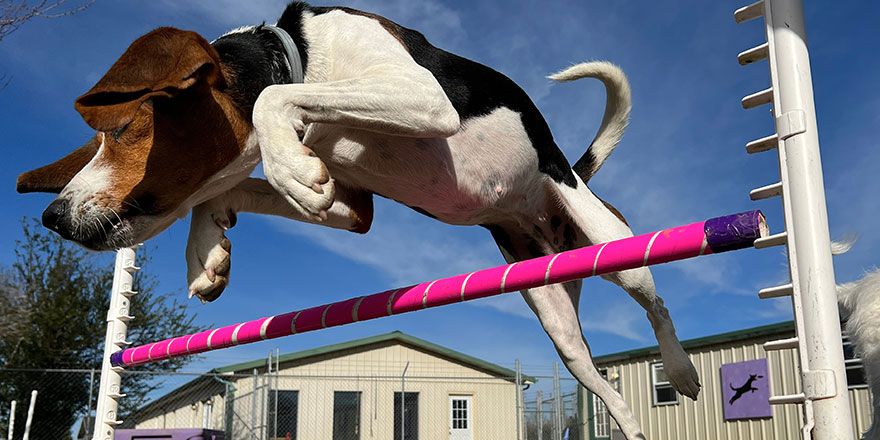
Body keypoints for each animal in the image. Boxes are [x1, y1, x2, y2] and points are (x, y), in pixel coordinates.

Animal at [15, 3, 700, 436]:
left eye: (124, 129)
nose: (54, 216)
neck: (298, 55)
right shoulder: (351, 208)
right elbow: (236, 188)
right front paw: (208, 249)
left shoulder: (421, 97)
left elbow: (270, 102)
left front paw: (283, 169)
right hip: (557, 320)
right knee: (612, 394)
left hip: (614, 244)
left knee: (658, 305)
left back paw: (682, 372)